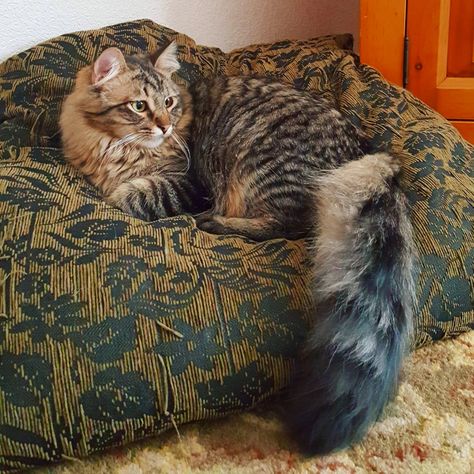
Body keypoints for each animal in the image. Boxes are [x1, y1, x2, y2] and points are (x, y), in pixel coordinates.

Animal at [59, 42, 414, 454]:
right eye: (139, 106)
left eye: (169, 102)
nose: (165, 126)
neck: (115, 149)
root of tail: (366, 153)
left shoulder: (189, 186)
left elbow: (130, 197)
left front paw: (122, 194)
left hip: (263, 168)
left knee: (287, 227)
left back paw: (215, 223)